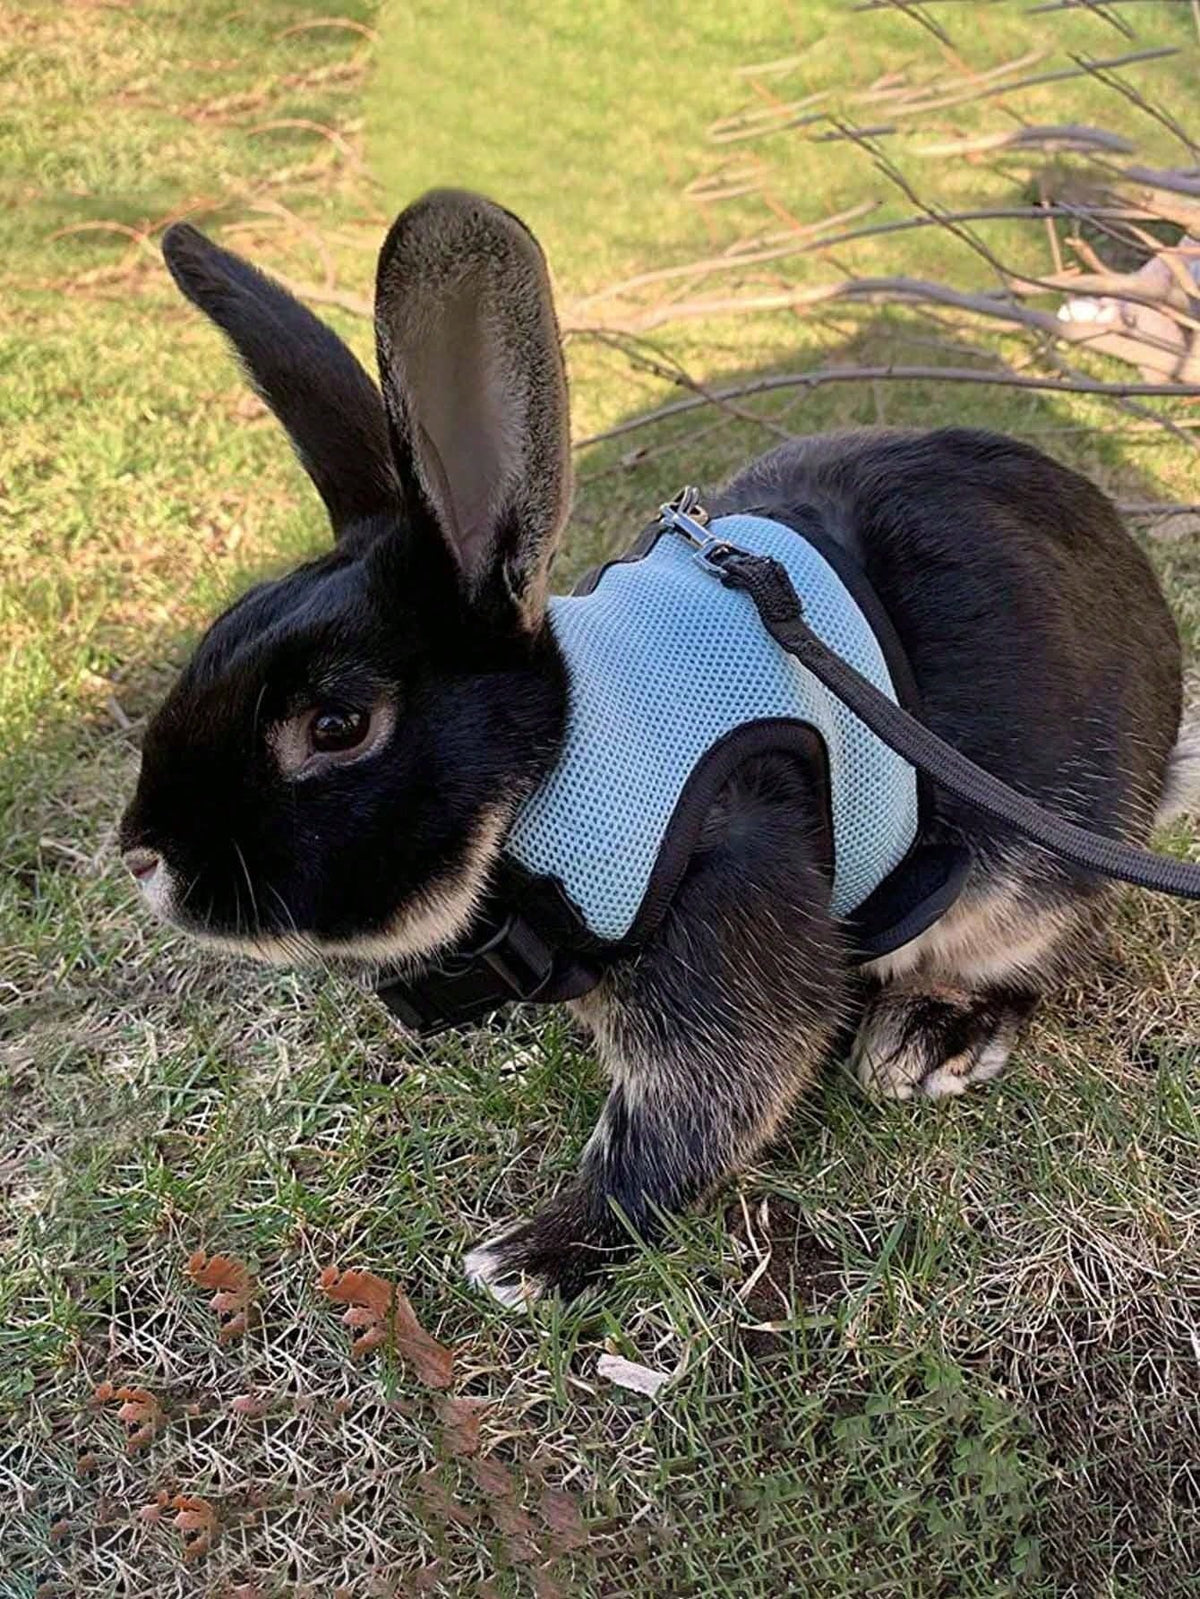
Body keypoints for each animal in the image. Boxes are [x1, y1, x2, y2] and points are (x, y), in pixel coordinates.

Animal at [120, 189, 1191, 1306]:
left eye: (337, 727)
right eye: (221, 632)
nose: (144, 856)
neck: (552, 774)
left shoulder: (723, 907)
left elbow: (690, 1116)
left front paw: (533, 1258)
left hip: (1026, 873)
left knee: (1038, 953)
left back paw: (930, 1036)